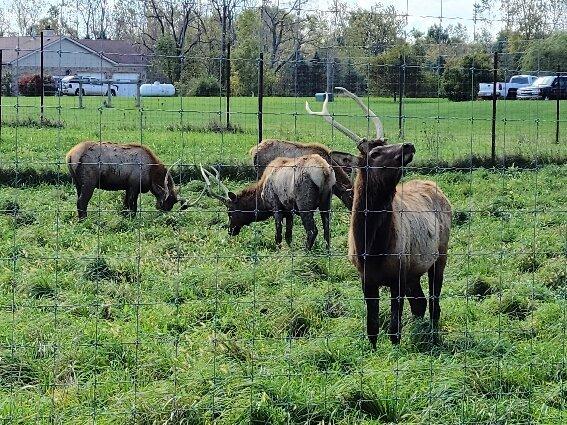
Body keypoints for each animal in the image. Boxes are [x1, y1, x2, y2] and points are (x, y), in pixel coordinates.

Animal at [66, 142, 201, 217]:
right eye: (168, 200)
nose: (163, 210)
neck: (151, 172)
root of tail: (70, 155)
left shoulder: (128, 187)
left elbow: (125, 206)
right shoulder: (134, 186)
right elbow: (133, 207)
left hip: (78, 183)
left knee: (78, 201)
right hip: (89, 183)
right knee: (82, 201)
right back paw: (84, 220)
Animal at [202, 154, 338, 250]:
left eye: (230, 212)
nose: (231, 231)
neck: (261, 199)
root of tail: (325, 172)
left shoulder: (276, 206)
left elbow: (278, 235)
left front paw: (279, 250)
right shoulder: (288, 210)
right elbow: (288, 235)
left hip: (304, 203)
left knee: (312, 230)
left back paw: (305, 251)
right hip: (326, 202)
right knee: (327, 230)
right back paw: (327, 251)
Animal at [306, 88, 452, 346]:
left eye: (387, 142)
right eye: (374, 152)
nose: (408, 145)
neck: (372, 248)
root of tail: (437, 187)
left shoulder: (399, 273)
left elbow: (394, 328)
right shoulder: (367, 277)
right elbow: (372, 325)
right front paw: (374, 349)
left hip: (440, 254)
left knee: (434, 302)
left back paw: (433, 335)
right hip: (416, 269)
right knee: (420, 303)